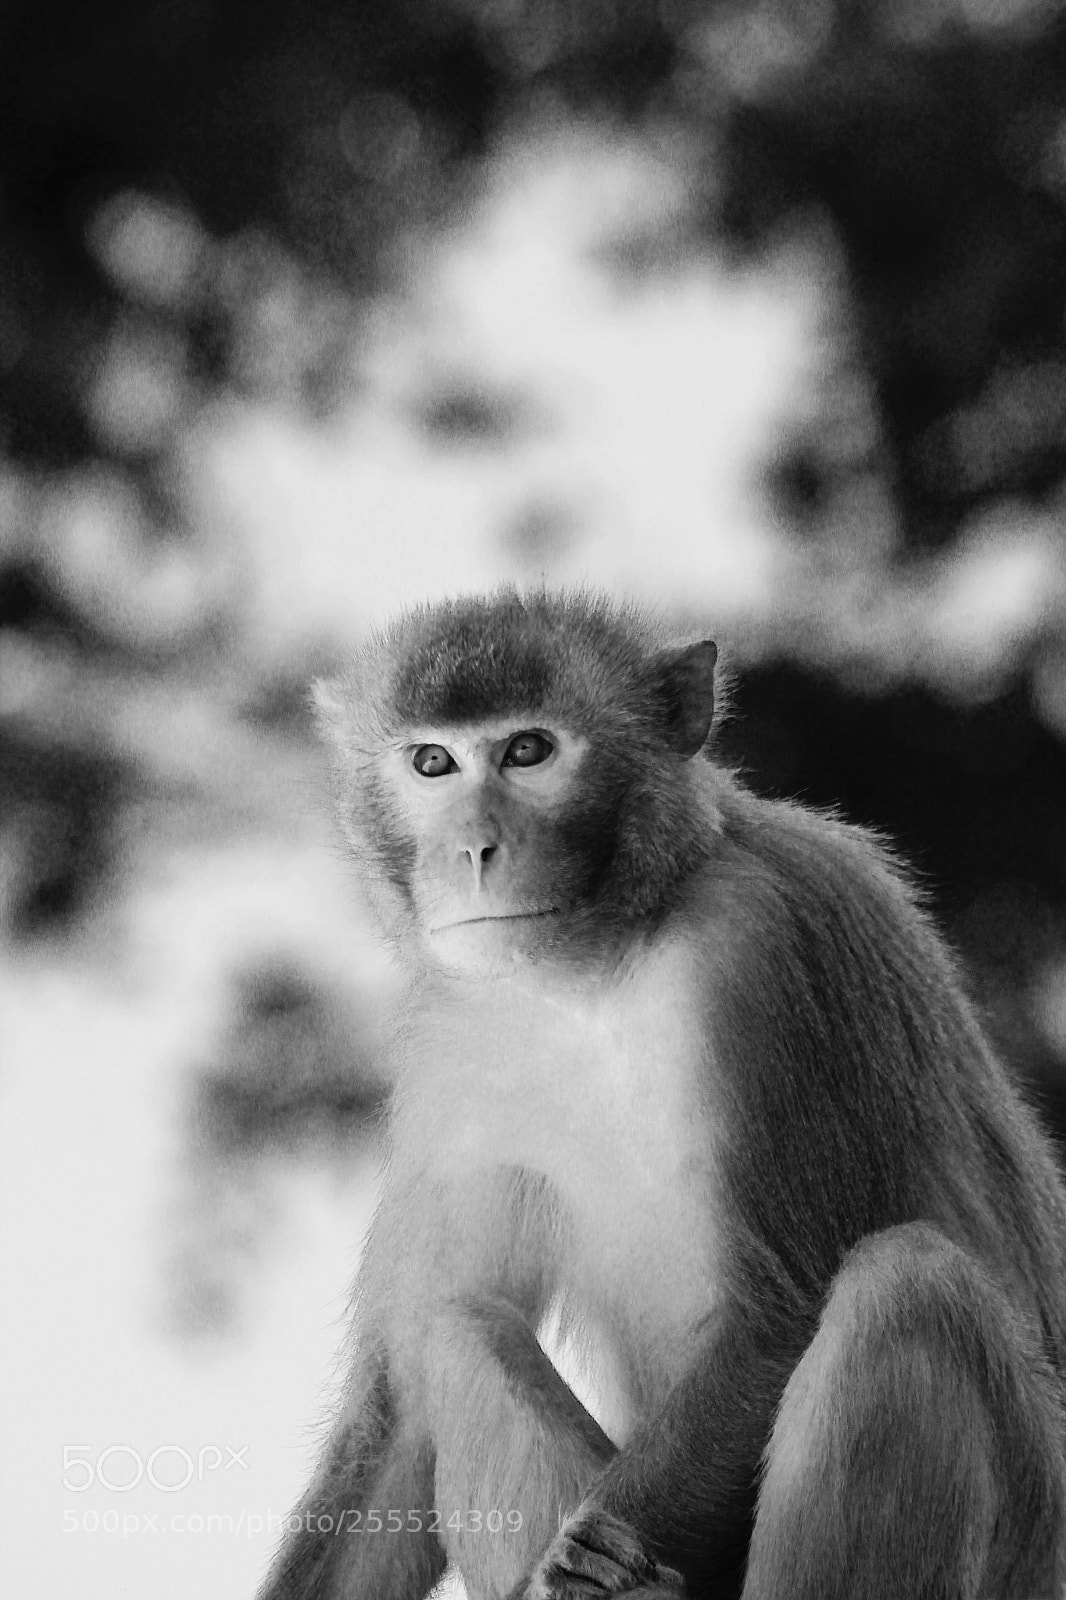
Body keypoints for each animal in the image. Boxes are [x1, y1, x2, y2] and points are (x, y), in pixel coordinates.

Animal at [257, 587, 1066, 1600]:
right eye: (432, 762)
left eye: (528, 750)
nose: (475, 849)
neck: (597, 970)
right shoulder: (456, 1041)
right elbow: (404, 1403)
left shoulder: (768, 938)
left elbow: (775, 1317)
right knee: (456, 1330)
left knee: (908, 1290)